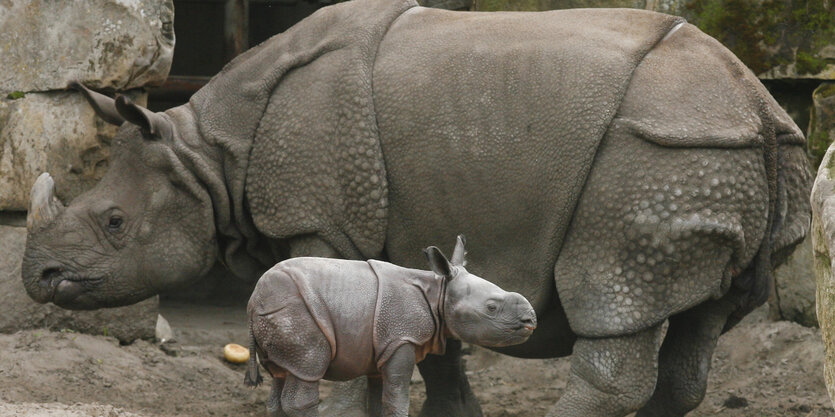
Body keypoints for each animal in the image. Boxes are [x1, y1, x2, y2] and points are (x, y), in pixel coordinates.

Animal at [245, 236, 532, 414]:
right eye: (492, 308)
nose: (531, 319)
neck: (439, 291)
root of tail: (252, 301)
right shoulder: (401, 337)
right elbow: (396, 396)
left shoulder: (381, 346)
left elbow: (379, 400)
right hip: (296, 311)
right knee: (306, 373)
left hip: (279, 312)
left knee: (282, 374)